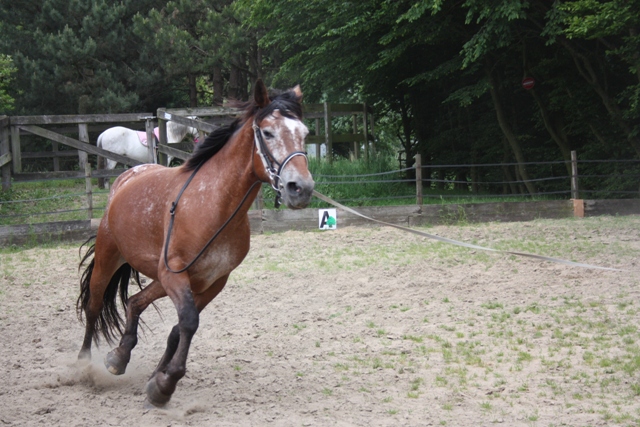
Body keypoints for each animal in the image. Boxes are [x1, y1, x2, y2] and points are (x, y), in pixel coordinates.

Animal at [77, 80, 316, 408]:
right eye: (267, 132)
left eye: (305, 133)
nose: (300, 188)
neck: (214, 205)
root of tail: (127, 176)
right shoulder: (175, 274)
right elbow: (188, 323)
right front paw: (165, 386)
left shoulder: (211, 282)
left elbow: (179, 330)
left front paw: (158, 380)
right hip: (109, 257)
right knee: (93, 306)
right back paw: (84, 366)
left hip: (161, 279)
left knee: (135, 301)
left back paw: (119, 357)